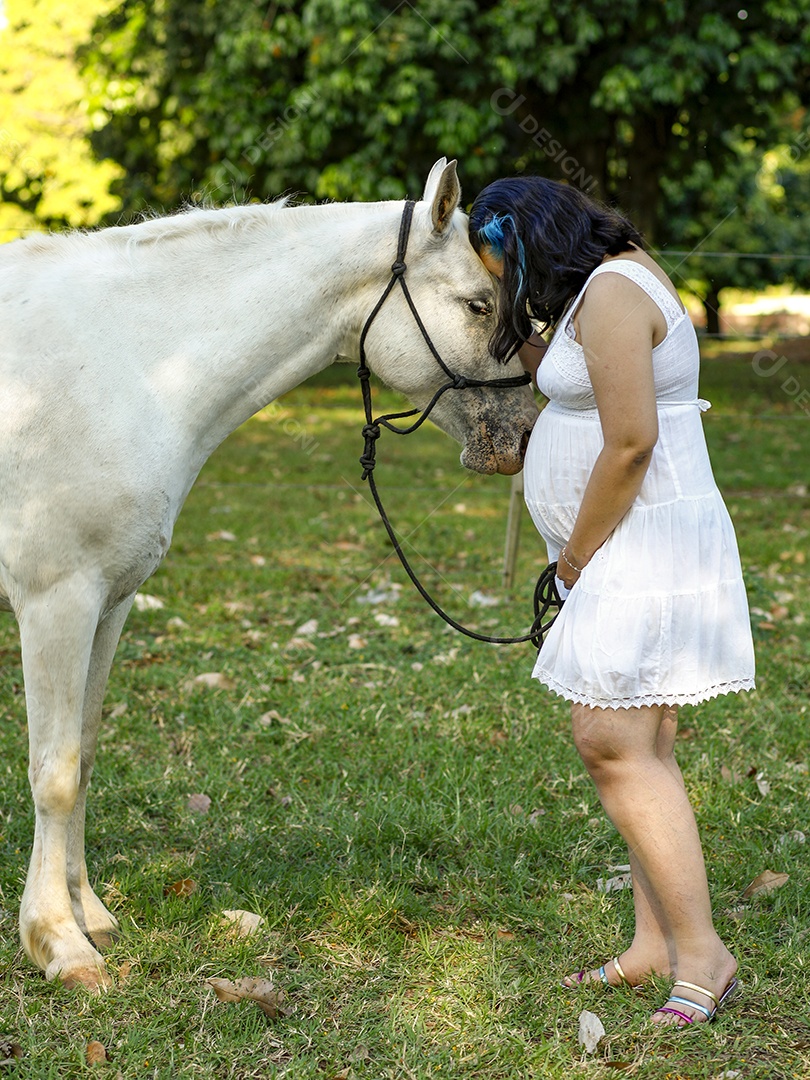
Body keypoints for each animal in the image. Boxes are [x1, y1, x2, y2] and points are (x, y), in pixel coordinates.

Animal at [0, 158, 538, 989]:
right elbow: (53, 771)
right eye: (479, 304)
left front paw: (88, 916)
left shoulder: (109, 604)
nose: (521, 437)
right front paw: (58, 941)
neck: (128, 362)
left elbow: (83, 755)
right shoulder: (57, 602)